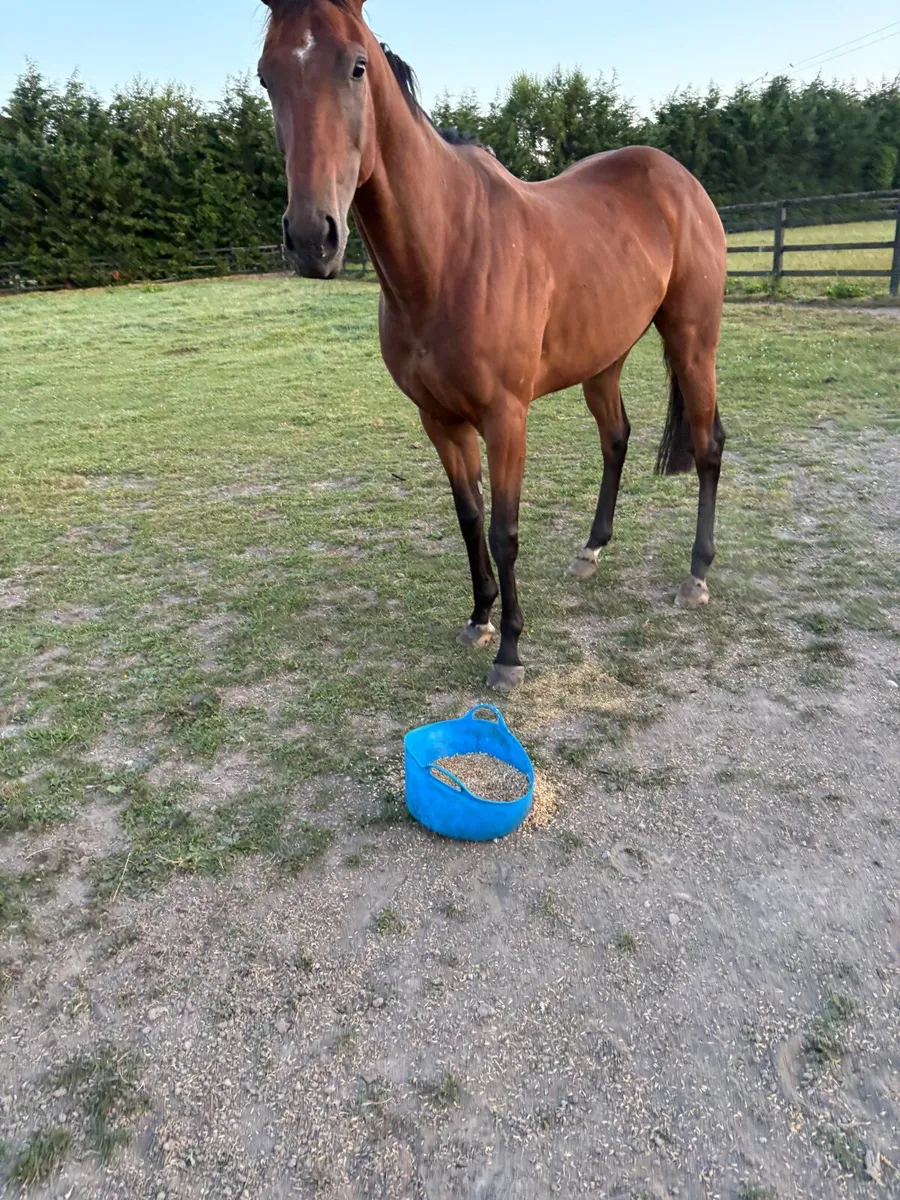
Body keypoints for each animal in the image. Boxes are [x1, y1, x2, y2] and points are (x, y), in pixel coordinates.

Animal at [257, 0, 728, 692]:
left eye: (357, 66)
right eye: (267, 78)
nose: (313, 239)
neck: (449, 250)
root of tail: (678, 178)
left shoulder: (506, 418)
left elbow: (504, 530)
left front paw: (509, 652)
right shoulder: (439, 420)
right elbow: (469, 517)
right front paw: (479, 618)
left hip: (694, 341)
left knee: (708, 446)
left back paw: (696, 575)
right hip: (603, 359)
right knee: (616, 438)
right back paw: (591, 550)